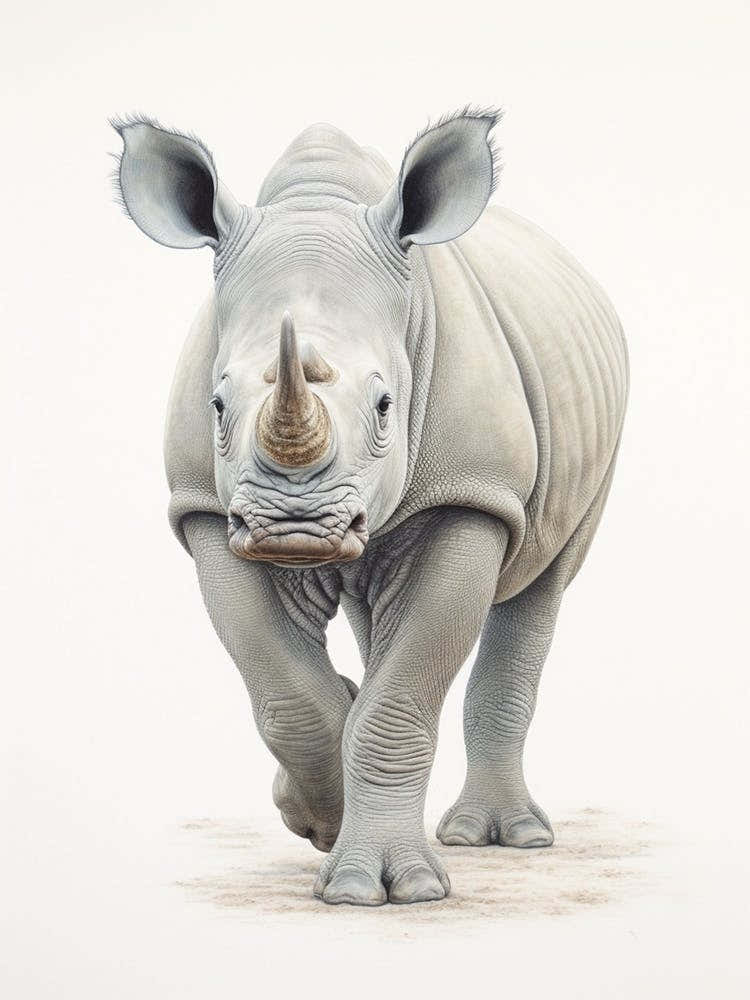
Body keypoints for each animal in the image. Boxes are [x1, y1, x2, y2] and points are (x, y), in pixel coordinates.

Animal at [112, 107, 628, 906]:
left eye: (387, 404)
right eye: (217, 405)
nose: (294, 528)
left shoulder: (471, 494)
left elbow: (401, 699)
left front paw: (384, 887)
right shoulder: (204, 508)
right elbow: (285, 693)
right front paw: (319, 822)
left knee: (542, 585)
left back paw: (505, 837)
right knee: (370, 610)